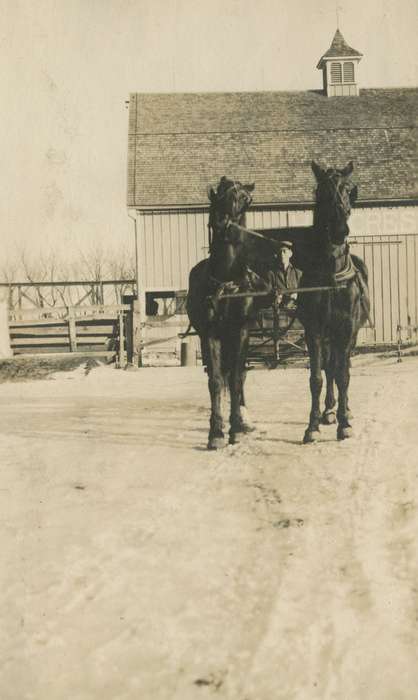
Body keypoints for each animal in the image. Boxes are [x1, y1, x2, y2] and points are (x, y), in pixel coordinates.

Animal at [186, 175, 272, 448]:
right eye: (217, 196)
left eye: (246, 199)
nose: (225, 225)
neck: (225, 281)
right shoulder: (210, 334)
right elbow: (215, 381)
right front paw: (215, 432)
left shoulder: (241, 331)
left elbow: (235, 378)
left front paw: (235, 428)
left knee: (239, 375)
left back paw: (243, 418)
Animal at [296, 161, 370, 440]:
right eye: (321, 191)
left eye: (349, 190)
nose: (340, 231)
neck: (330, 273)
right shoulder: (314, 330)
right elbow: (317, 377)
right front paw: (313, 425)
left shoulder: (346, 329)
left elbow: (343, 375)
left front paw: (344, 423)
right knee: (329, 367)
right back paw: (329, 411)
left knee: (342, 365)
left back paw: (344, 410)